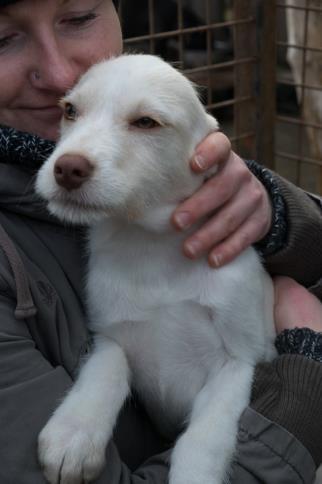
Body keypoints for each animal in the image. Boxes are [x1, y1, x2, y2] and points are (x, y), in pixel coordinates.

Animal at [36, 54, 276, 484]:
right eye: (70, 111)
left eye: (146, 122)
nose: (67, 169)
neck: (150, 246)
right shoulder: (111, 337)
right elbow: (103, 374)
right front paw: (73, 433)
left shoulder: (239, 363)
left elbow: (202, 440)